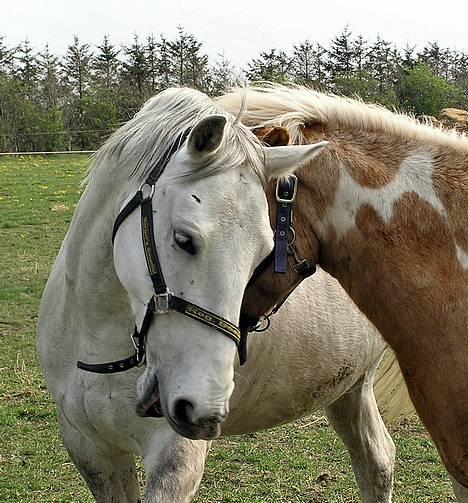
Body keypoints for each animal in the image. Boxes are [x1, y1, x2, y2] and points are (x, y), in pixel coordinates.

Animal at [37, 88, 406, 502]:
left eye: (266, 252)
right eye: (184, 239)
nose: (204, 405)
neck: (97, 343)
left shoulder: (174, 460)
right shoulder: (92, 450)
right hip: (348, 389)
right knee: (375, 460)